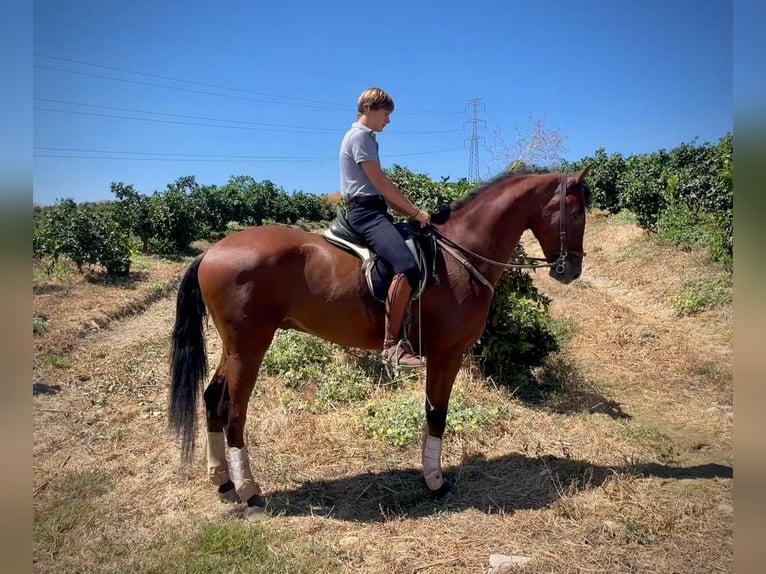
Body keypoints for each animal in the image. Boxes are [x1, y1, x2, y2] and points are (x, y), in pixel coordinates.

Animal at [170, 168, 592, 520]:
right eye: (576, 214)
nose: (571, 270)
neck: (460, 253)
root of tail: (210, 252)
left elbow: (432, 413)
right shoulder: (447, 353)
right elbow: (437, 413)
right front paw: (435, 482)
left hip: (234, 347)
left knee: (212, 398)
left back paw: (224, 483)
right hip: (250, 346)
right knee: (233, 411)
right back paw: (250, 493)